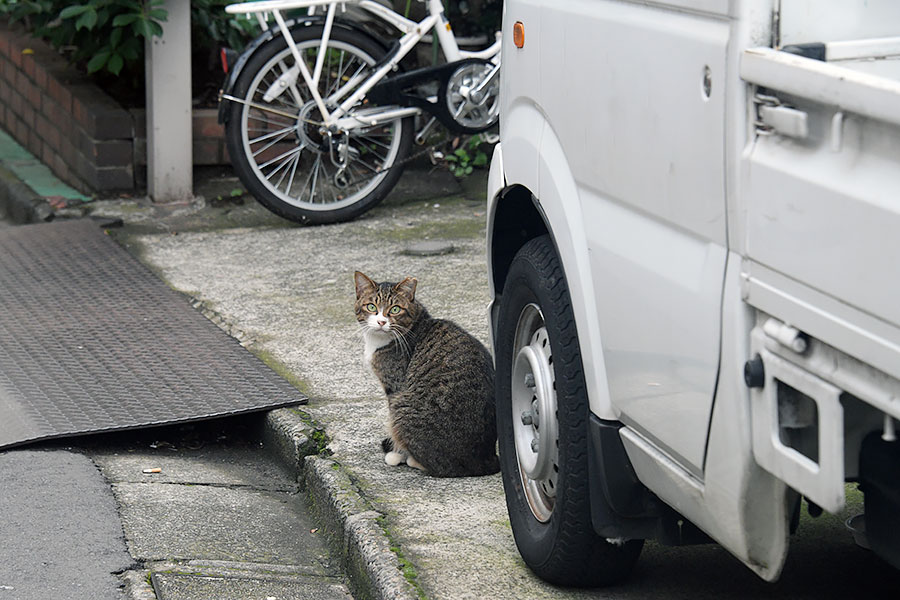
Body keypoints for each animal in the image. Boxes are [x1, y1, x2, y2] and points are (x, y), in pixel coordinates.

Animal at [356, 272, 502, 478]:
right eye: (371, 307)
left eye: (395, 309)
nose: (381, 322)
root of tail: (486, 460)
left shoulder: (395, 388)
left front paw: (397, 454)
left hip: (403, 405)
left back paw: (413, 460)